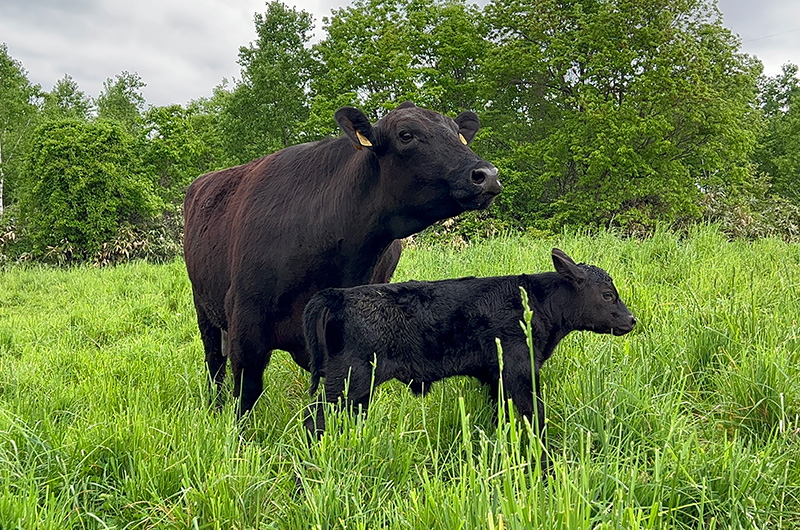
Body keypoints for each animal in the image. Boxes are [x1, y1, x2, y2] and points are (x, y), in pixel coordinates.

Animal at [184, 101, 504, 414]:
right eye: (406, 135)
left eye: (459, 135)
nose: (487, 174)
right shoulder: (245, 319)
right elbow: (246, 393)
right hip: (205, 308)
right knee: (215, 365)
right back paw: (214, 408)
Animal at [304, 250, 636, 440]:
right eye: (608, 295)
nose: (631, 320)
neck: (535, 303)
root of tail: (338, 295)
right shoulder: (520, 373)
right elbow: (533, 417)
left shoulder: (496, 378)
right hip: (349, 380)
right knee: (315, 420)